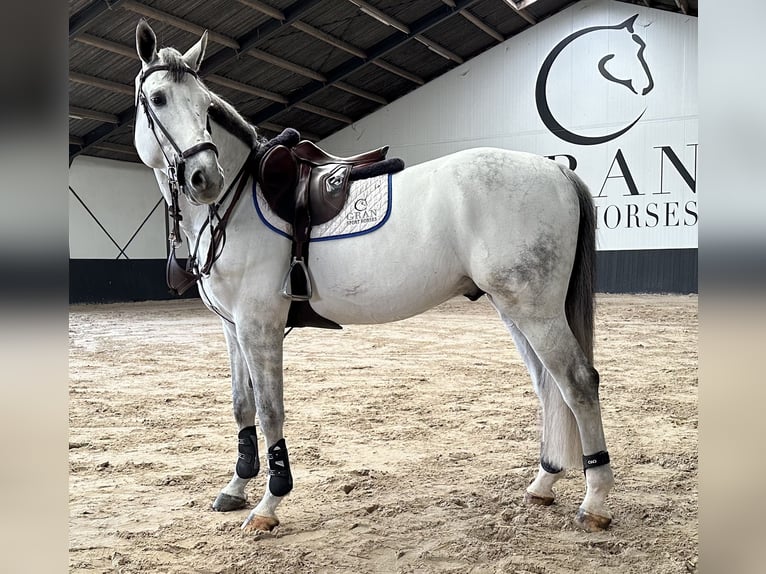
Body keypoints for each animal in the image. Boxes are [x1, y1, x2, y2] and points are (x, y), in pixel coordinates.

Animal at [130, 21, 612, 536]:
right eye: (158, 99)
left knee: (578, 382)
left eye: (205, 106)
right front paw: (237, 486)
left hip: (535, 309)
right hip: (515, 308)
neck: (240, 201)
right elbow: (242, 404)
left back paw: (595, 501)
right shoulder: (231, 326)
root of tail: (556, 170)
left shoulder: (259, 324)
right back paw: (544, 481)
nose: (205, 177)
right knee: (550, 386)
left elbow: (270, 409)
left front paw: (270, 503)